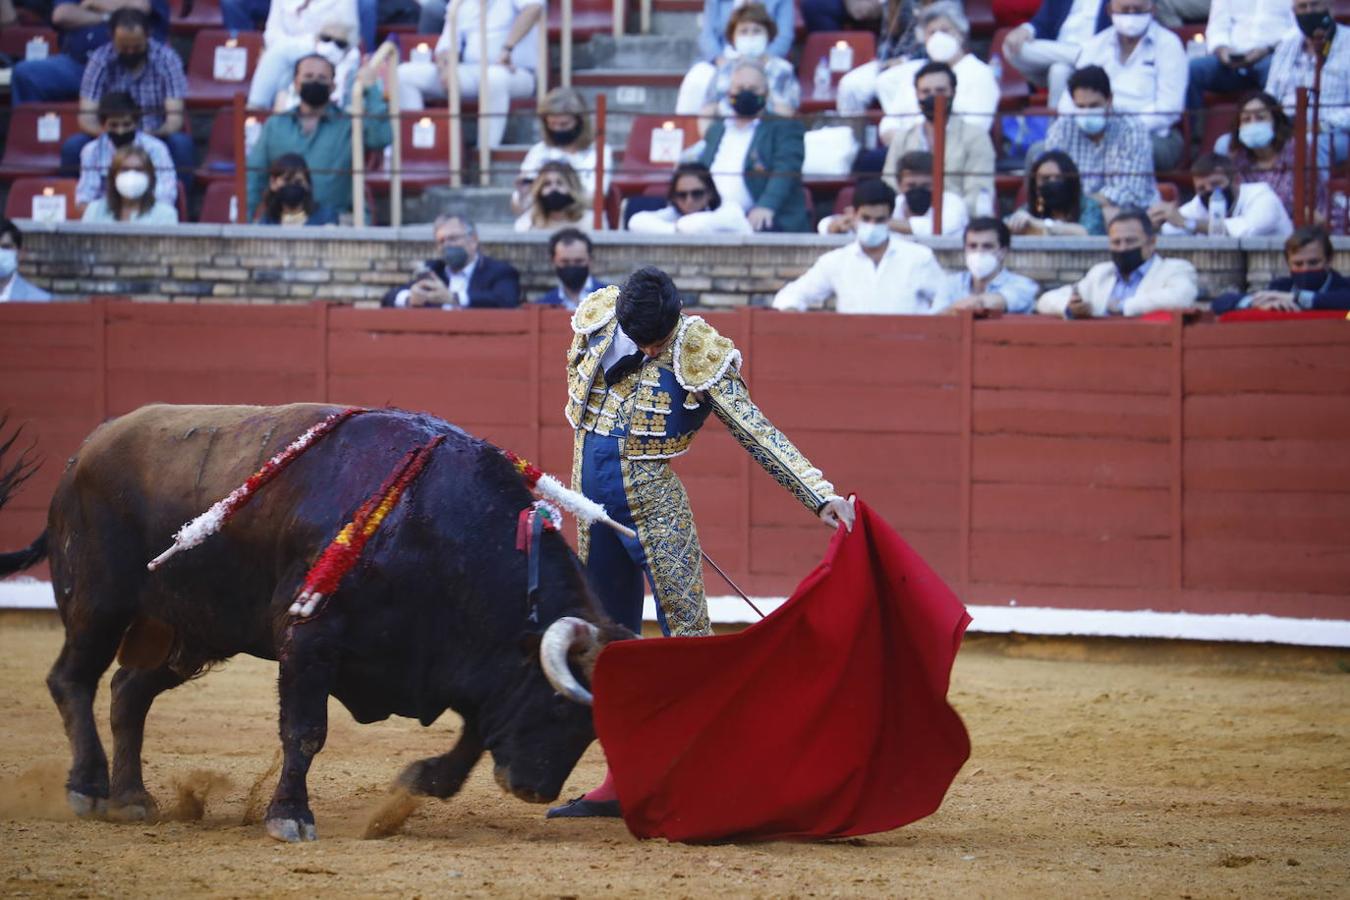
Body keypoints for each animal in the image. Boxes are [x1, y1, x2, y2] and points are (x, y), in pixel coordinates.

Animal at [0, 404, 626, 841]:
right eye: (558, 706)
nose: (534, 789)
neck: (433, 530)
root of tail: (89, 447)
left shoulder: (463, 665)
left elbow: (474, 735)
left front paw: (416, 785)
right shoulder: (308, 641)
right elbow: (305, 731)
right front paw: (290, 817)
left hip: (191, 632)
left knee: (129, 692)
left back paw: (132, 799)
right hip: (98, 604)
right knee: (73, 680)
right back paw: (87, 788)